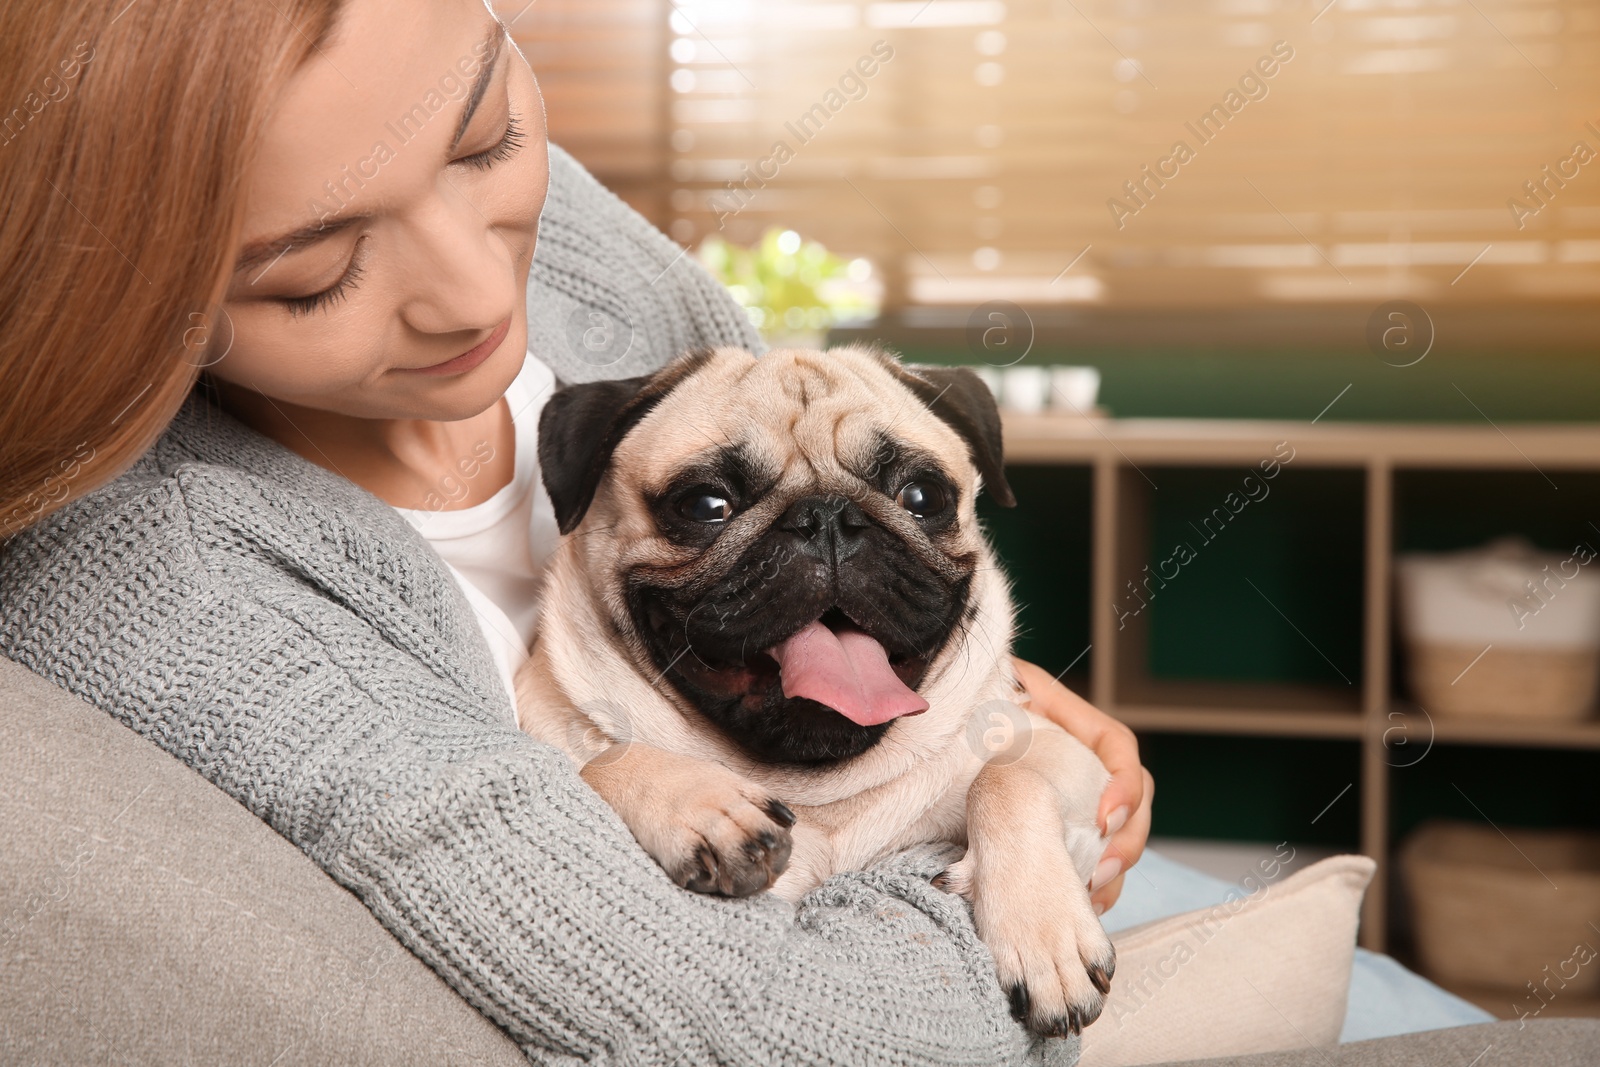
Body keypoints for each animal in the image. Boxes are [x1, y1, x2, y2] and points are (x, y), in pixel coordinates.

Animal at [518, 342, 1120, 1036]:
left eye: (922, 496)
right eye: (704, 506)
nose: (828, 516)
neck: (819, 792)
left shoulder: (1070, 758)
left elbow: (1007, 777)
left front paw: (1044, 934)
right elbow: (602, 761)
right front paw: (701, 804)